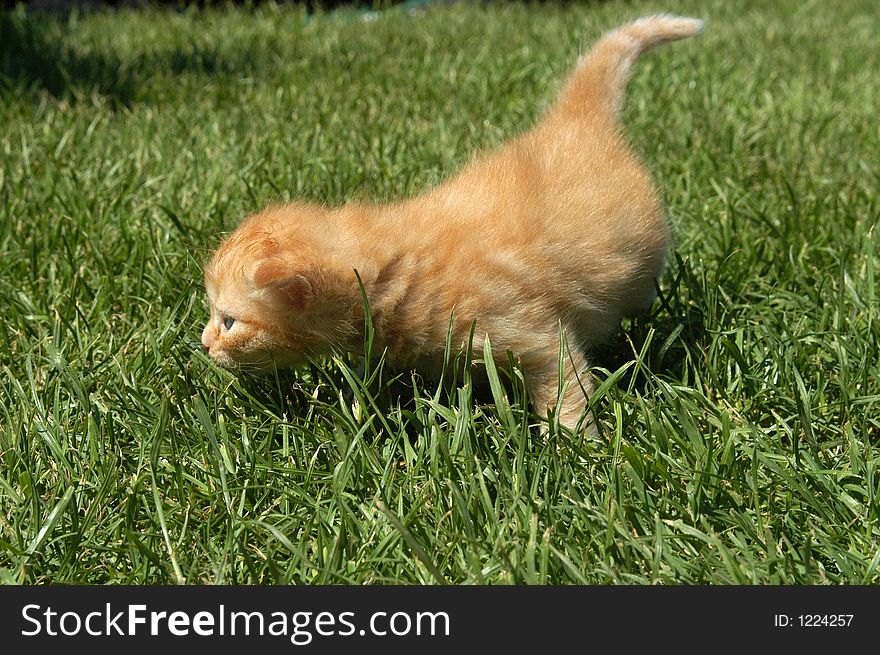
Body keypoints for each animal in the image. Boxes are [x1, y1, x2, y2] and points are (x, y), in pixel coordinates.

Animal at [199, 14, 700, 430]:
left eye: (229, 321)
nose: (204, 345)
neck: (395, 266)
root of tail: (575, 121)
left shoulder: (533, 334)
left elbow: (565, 391)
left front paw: (577, 447)